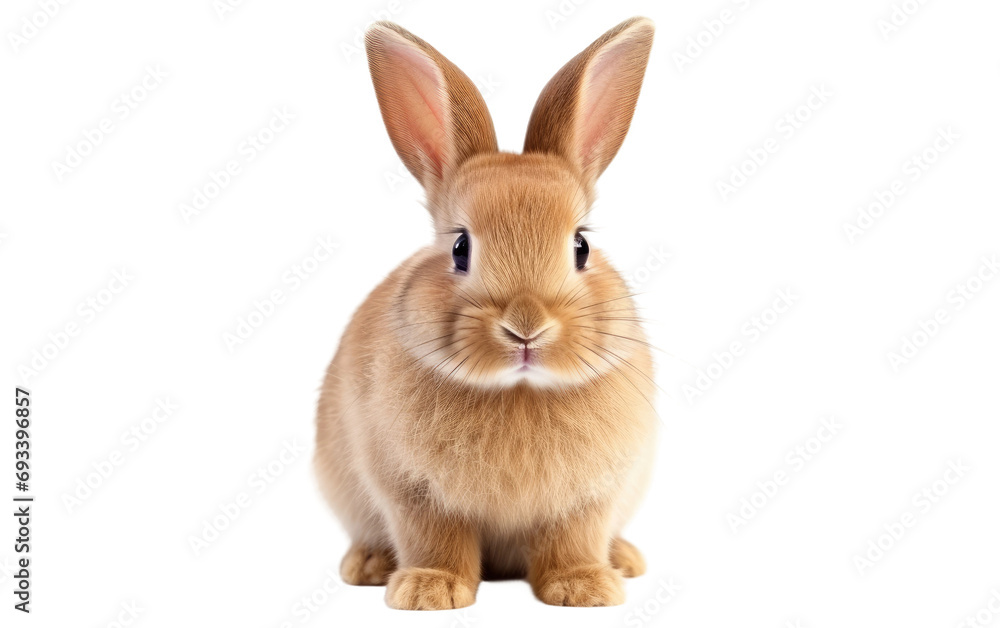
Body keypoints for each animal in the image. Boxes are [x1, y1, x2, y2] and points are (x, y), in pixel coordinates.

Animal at [315, 16, 657, 610]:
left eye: (581, 246)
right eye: (460, 248)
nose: (525, 328)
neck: (517, 391)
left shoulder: (589, 497)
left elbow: (573, 538)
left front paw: (584, 589)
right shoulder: (414, 492)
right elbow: (435, 539)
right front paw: (430, 591)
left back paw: (623, 560)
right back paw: (370, 565)